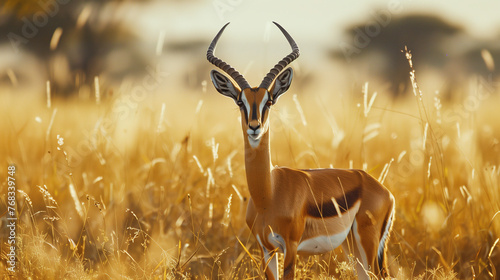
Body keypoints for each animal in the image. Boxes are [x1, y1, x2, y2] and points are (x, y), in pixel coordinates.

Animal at [206, 22, 394, 280]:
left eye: (269, 101)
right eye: (239, 102)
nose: (255, 127)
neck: (268, 193)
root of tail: (381, 188)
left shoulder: (291, 246)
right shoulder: (266, 249)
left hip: (367, 243)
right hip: (352, 247)